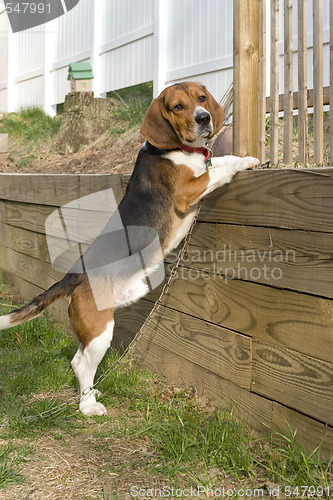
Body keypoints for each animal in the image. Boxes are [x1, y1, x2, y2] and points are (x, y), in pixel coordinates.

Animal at [0, 82, 260, 416]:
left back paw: (90, 396)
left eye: (201, 98)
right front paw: (244, 161)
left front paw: (245, 156)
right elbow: (217, 171)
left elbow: (220, 162)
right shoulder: (189, 190)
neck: (180, 150)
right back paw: (89, 407)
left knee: (77, 360)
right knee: (81, 364)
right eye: (177, 107)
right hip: (101, 330)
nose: (203, 118)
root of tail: (74, 275)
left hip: (95, 328)